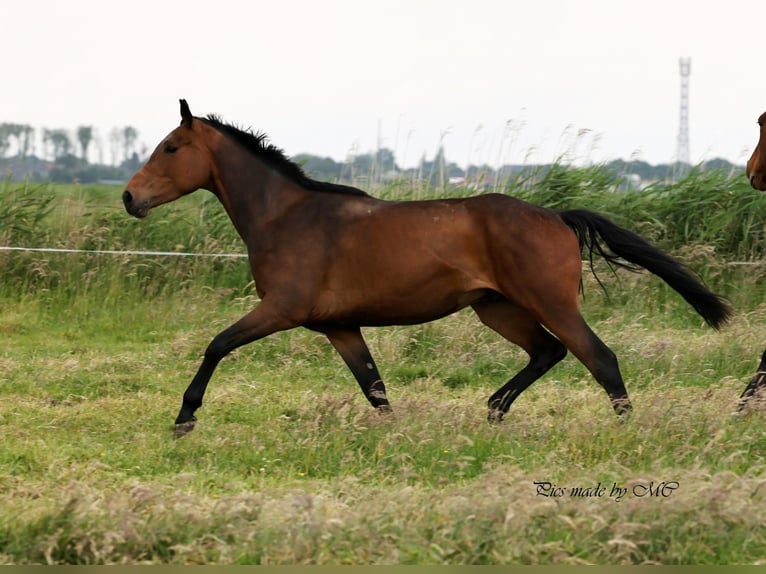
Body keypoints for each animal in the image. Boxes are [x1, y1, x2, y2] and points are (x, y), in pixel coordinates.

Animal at [123, 101, 736, 438]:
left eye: (171, 147)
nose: (130, 198)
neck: (285, 216)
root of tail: (557, 216)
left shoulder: (281, 309)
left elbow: (216, 345)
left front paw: (184, 419)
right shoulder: (339, 326)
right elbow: (375, 388)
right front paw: (396, 437)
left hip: (551, 302)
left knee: (599, 359)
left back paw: (626, 434)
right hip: (498, 309)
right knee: (548, 352)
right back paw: (493, 410)